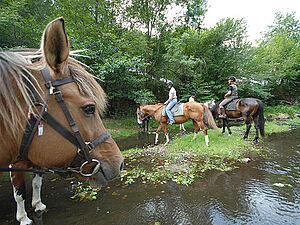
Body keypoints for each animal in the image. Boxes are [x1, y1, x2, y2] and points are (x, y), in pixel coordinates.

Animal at [0, 18, 123, 225]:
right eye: (89, 108)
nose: (120, 163)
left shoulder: (39, 152)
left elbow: (37, 181)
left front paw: (37, 204)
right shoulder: (18, 162)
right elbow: (19, 191)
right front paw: (24, 218)